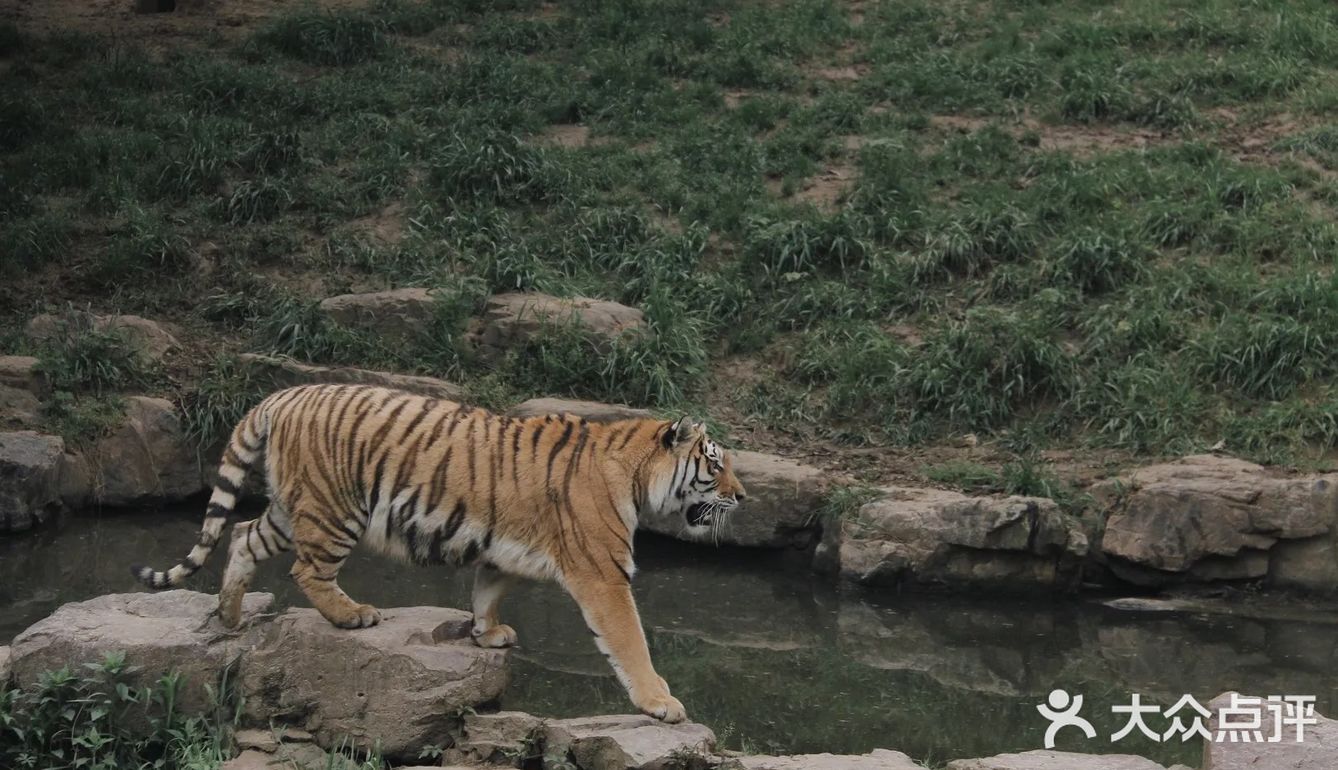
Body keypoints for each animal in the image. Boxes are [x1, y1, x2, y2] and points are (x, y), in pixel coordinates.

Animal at [130, 382, 749, 723]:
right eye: (715, 464)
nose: (744, 497)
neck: (638, 474)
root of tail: (284, 393)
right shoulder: (604, 574)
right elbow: (631, 641)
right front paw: (660, 703)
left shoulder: (504, 550)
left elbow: (488, 590)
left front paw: (487, 633)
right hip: (335, 509)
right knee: (308, 569)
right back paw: (351, 615)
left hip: (291, 505)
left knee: (240, 536)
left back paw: (230, 616)